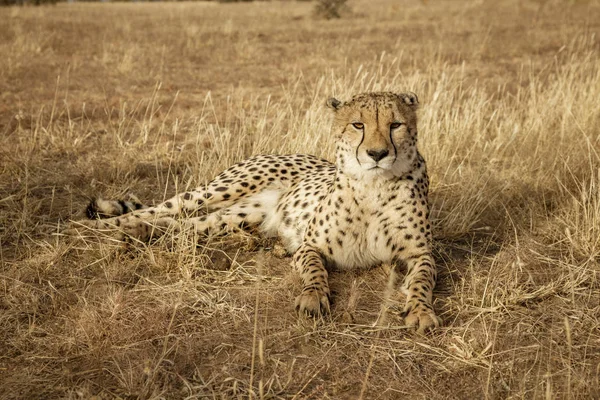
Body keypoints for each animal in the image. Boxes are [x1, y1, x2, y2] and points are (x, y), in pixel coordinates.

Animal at [69, 92, 440, 332]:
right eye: (358, 125)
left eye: (395, 125)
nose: (377, 154)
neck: (373, 186)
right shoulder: (310, 246)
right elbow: (314, 271)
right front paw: (312, 298)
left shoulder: (421, 253)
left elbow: (423, 278)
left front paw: (421, 311)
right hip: (217, 191)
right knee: (153, 210)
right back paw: (87, 230)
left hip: (234, 216)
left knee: (180, 225)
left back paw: (139, 235)